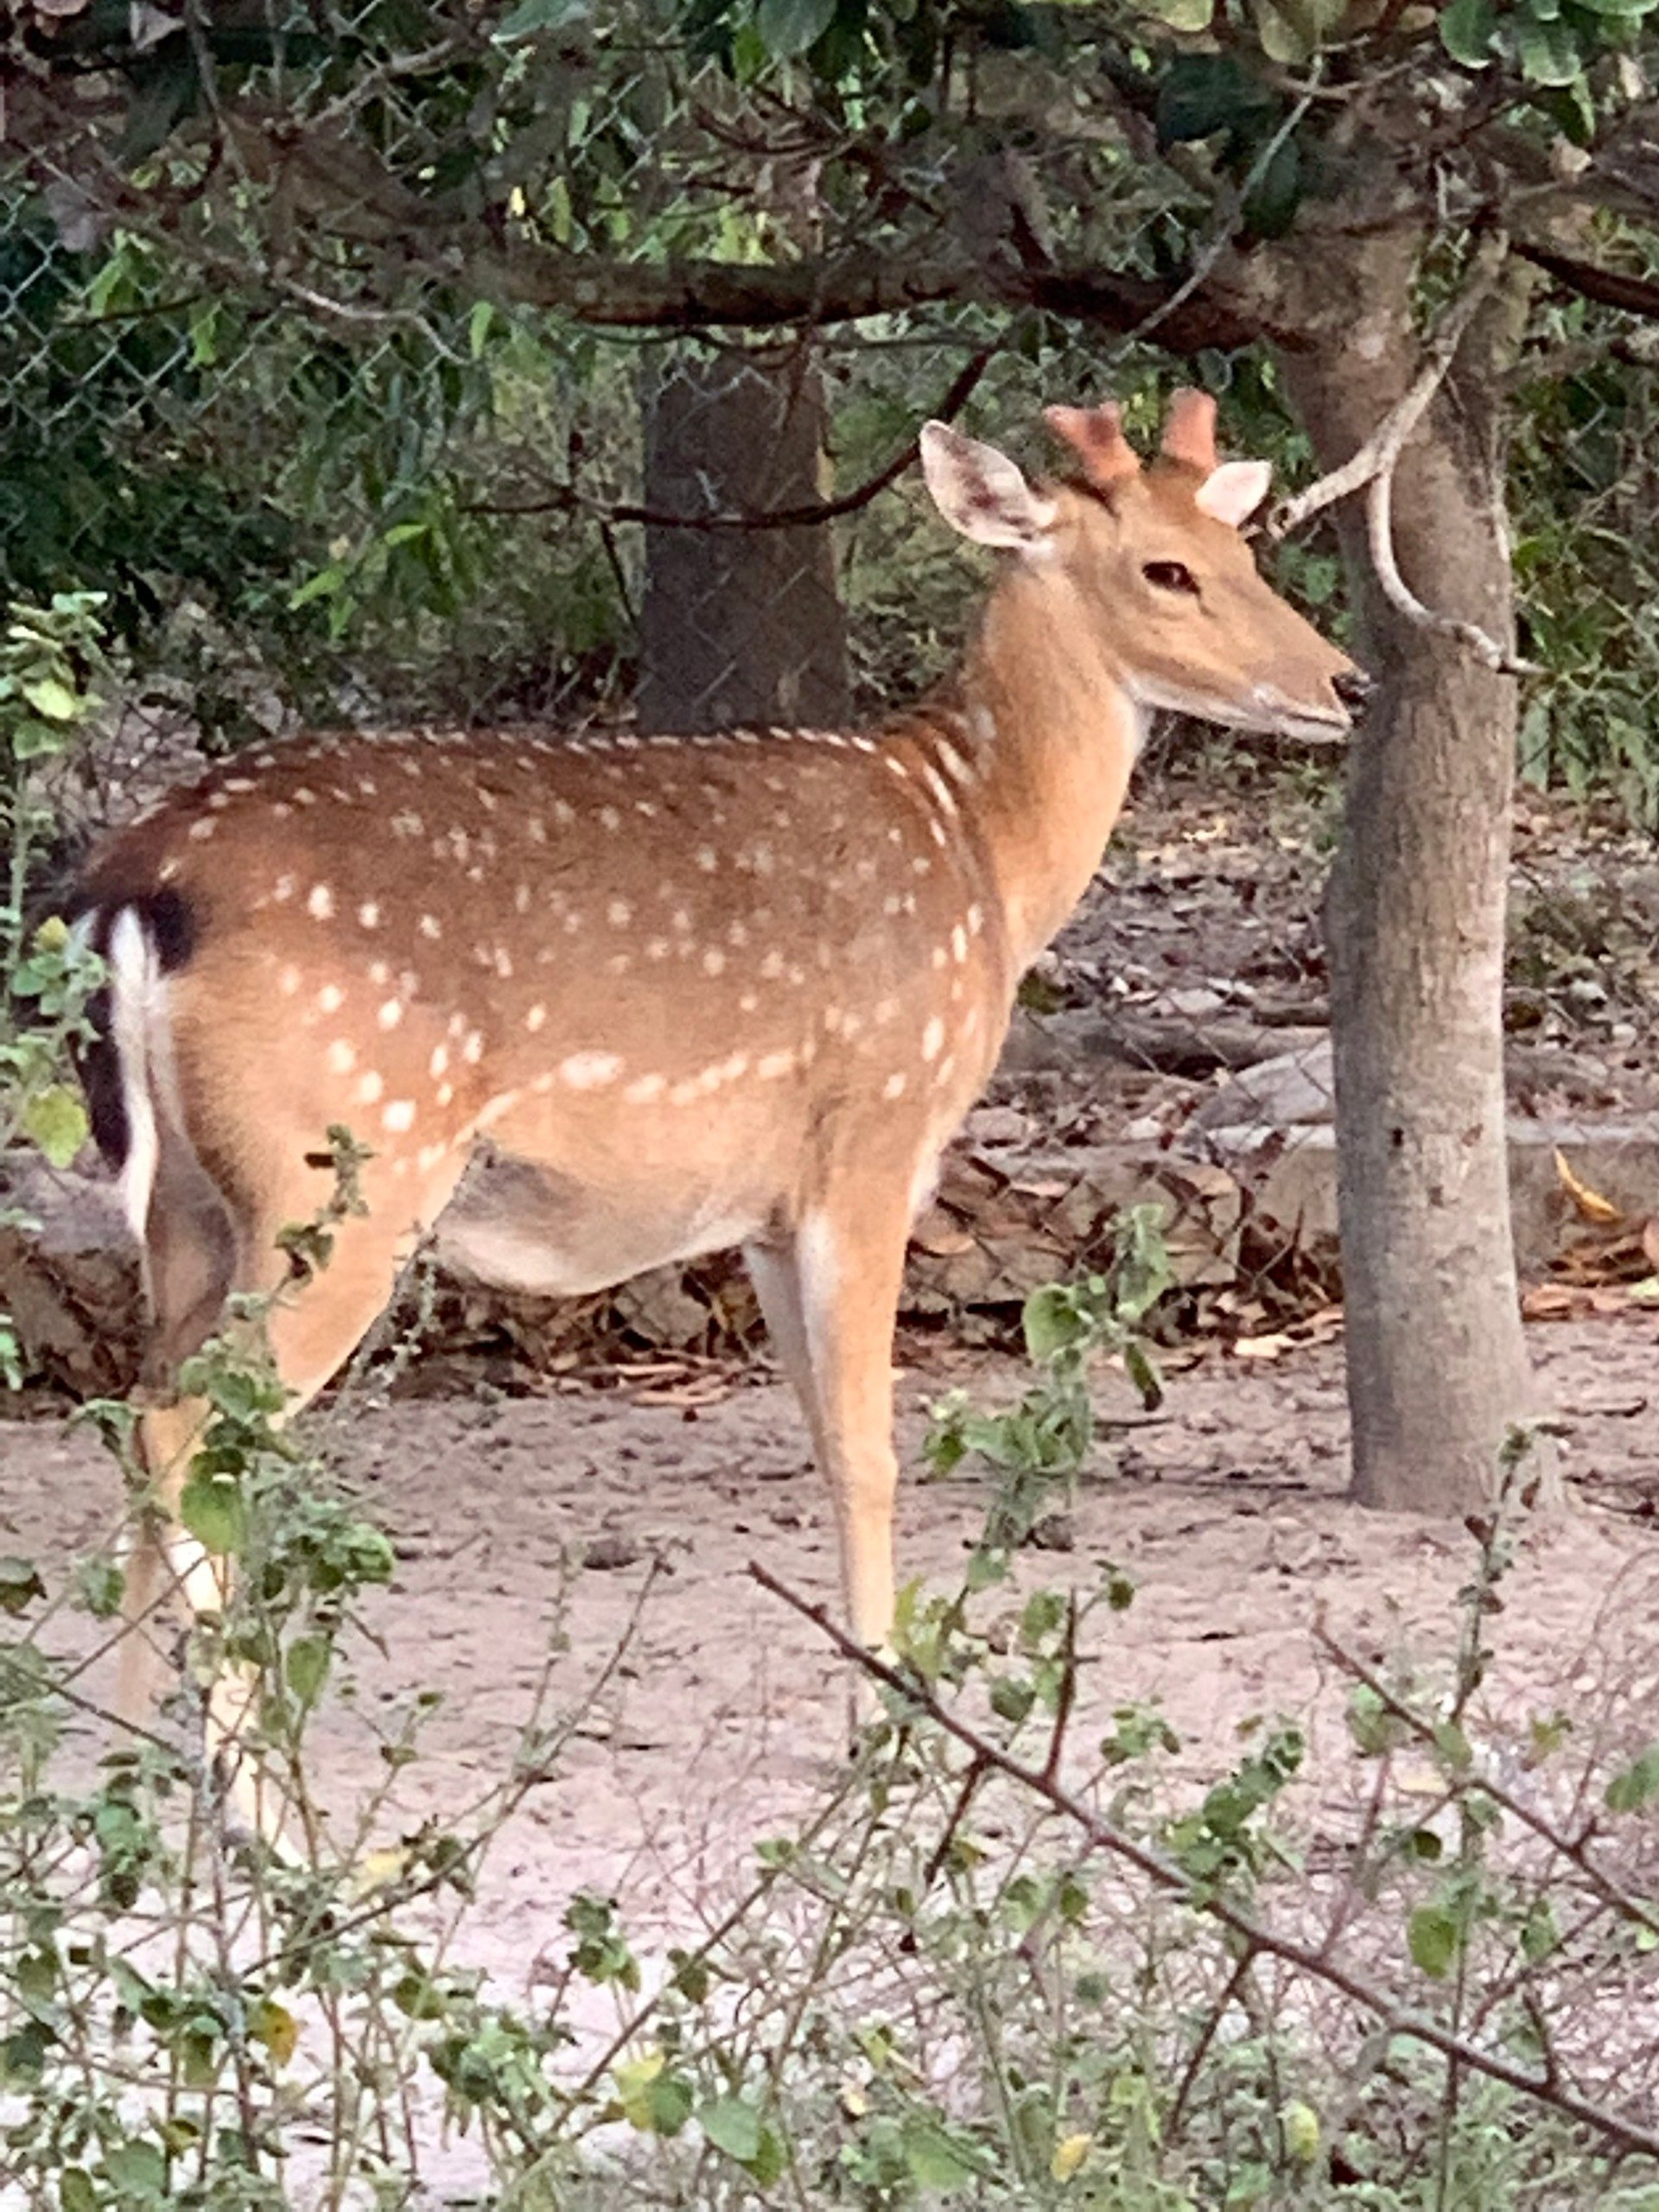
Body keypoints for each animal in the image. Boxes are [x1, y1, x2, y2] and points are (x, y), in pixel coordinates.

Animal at [71, 393, 1371, 1814]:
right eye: (1166, 569)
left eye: (1244, 546)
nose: (1347, 684)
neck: (983, 852)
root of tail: (135, 895)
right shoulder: (873, 1135)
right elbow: (869, 1447)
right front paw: (889, 1727)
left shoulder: (762, 1206)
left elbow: (819, 1438)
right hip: (345, 1173)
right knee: (193, 1433)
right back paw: (262, 1810)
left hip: (189, 1207)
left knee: (138, 1415)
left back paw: (118, 1781)